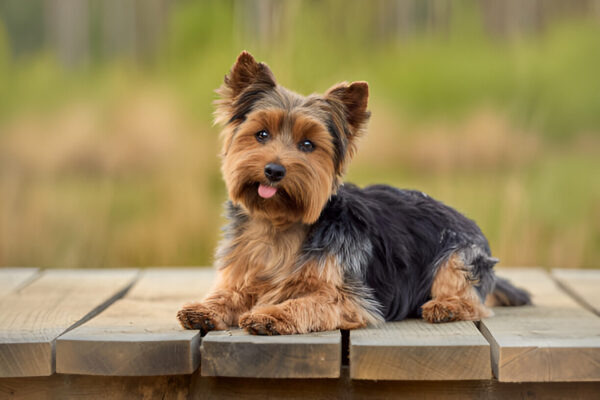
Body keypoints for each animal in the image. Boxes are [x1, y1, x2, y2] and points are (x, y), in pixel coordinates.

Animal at [175, 51, 528, 336]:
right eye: (261, 134)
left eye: (307, 145)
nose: (274, 170)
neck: (279, 224)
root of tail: (466, 218)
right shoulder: (244, 272)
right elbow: (230, 293)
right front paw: (204, 308)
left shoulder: (351, 298)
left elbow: (308, 302)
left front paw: (271, 314)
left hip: (459, 256)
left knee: (472, 299)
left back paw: (446, 306)